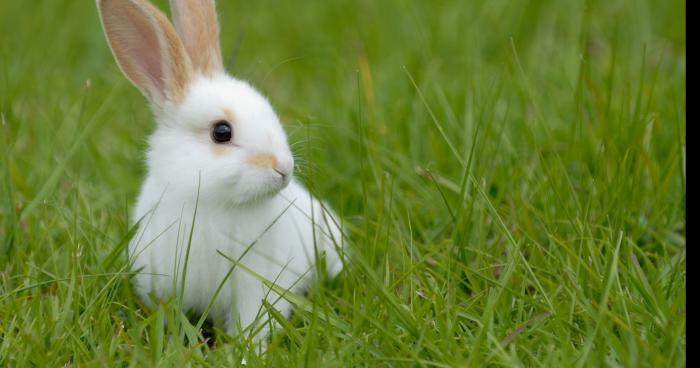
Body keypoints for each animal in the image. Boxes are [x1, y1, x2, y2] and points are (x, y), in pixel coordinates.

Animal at [96, 0, 344, 346]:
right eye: (222, 132)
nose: (283, 168)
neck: (213, 203)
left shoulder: (257, 286)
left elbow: (253, 323)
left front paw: (248, 351)